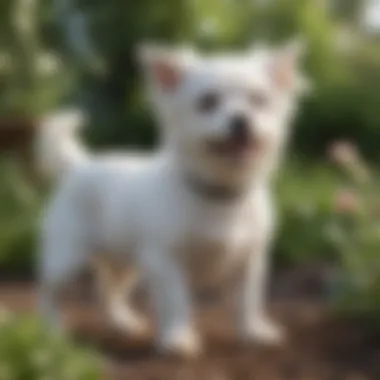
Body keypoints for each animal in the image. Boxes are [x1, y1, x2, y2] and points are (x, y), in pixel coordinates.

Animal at [35, 40, 308, 358]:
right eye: (208, 102)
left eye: (259, 100)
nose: (241, 119)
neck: (219, 194)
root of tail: (80, 165)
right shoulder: (165, 263)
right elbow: (177, 301)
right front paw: (177, 338)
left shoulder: (249, 263)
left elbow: (248, 301)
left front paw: (253, 331)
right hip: (67, 258)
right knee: (48, 290)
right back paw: (51, 329)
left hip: (125, 263)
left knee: (109, 291)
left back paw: (121, 321)